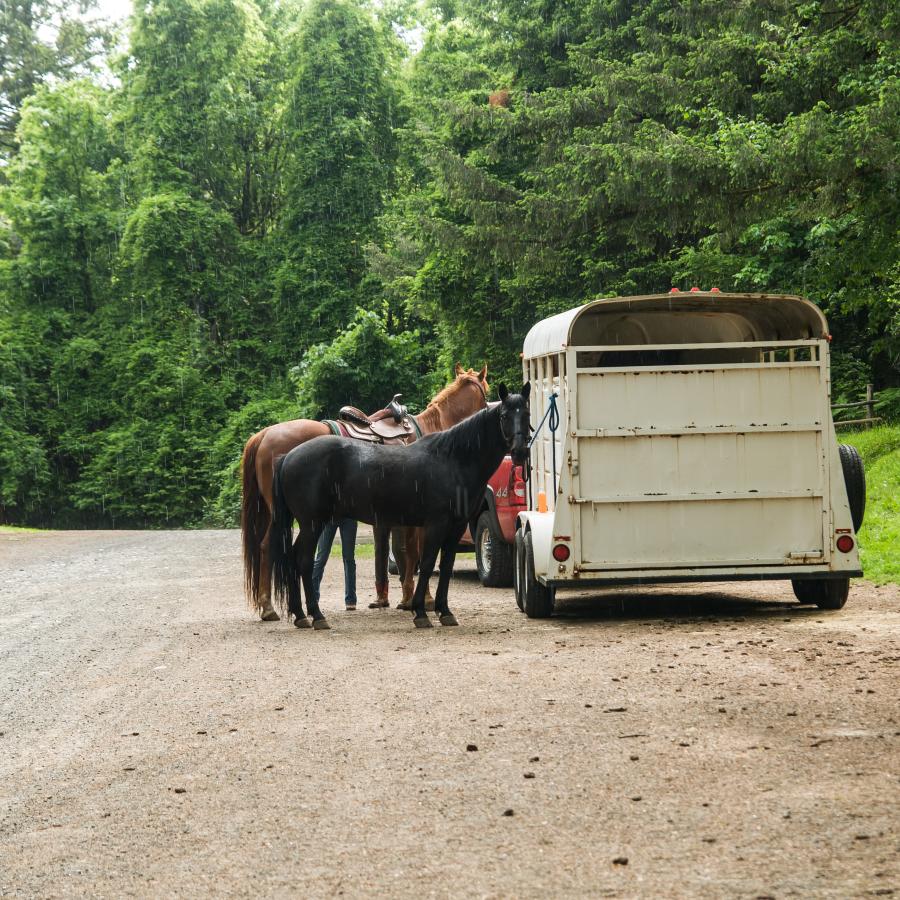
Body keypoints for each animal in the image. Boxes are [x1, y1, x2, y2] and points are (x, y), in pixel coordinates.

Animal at [243, 364, 488, 620]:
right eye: (487, 392)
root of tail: (264, 434)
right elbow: (418, 554)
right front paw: (425, 600)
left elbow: (403, 553)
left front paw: (405, 599)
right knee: (269, 547)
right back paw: (269, 607)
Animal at [270, 384, 532, 628]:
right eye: (504, 416)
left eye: (527, 413)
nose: (520, 451)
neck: (453, 459)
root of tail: (288, 456)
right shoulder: (435, 524)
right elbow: (426, 564)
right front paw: (421, 612)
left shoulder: (457, 526)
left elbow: (446, 566)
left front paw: (445, 612)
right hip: (312, 523)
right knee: (303, 561)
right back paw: (316, 616)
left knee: (293, 558)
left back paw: (301, 615)